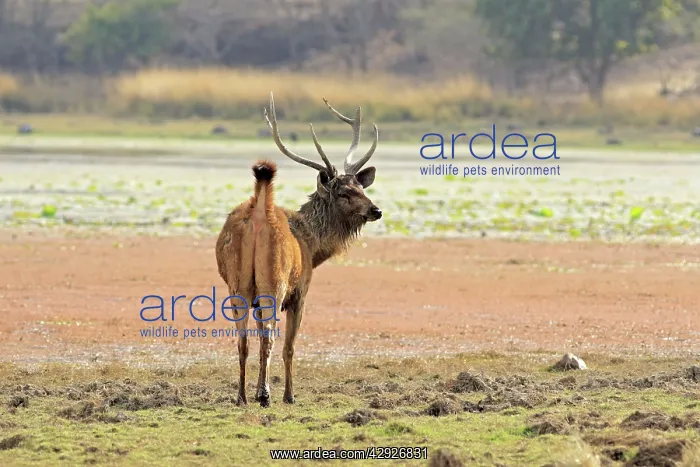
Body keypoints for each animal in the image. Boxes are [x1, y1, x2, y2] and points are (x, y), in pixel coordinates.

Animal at [215, 92, 382, 407]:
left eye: (362, 188)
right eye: (344, 193)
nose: (376, 210)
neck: (313, 246)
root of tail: (260, 213)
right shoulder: (301, 291)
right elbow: (290, 345)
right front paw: (289, 394)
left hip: (237, 284)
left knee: (242, 339)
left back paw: (241, 396)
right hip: (274, 280)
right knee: (270, 336)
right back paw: (265, 396)